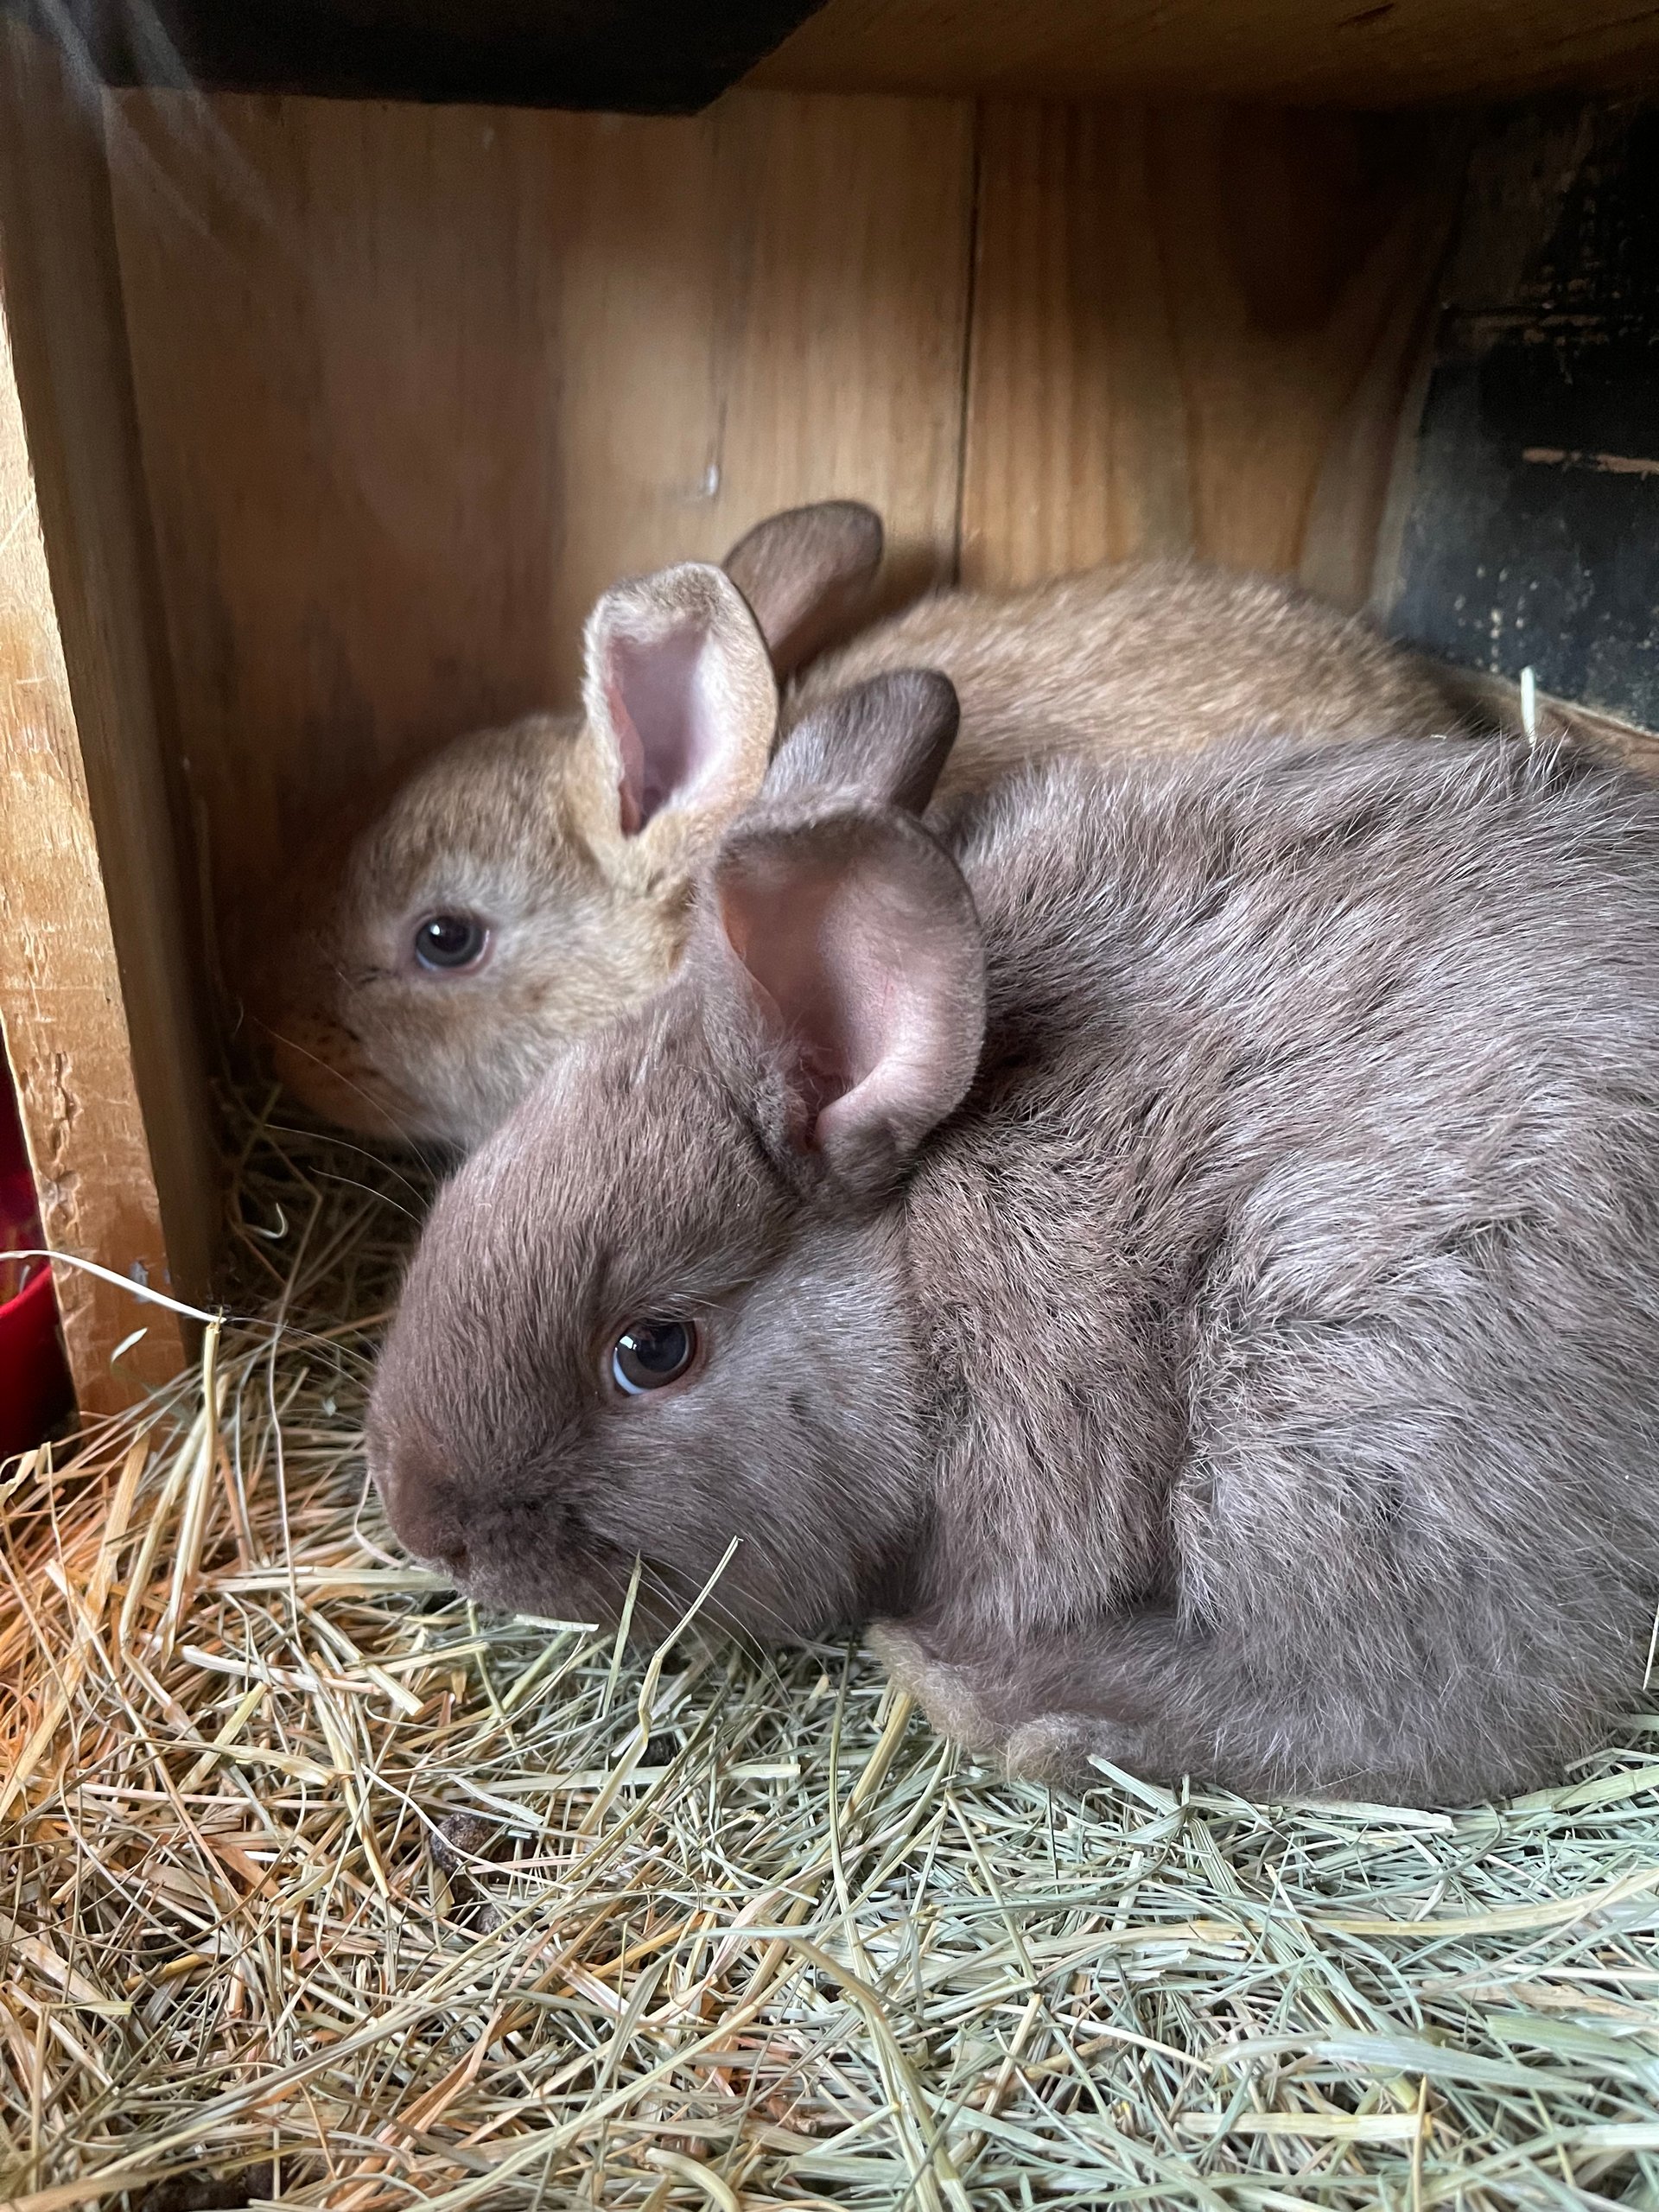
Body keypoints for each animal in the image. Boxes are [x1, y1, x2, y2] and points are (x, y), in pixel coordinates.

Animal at [366, 667, 1659, 1807]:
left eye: (651, 1352)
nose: (428, 1529)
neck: (921, 1277)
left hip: (1333, 1424)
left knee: (1427, 1701)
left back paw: (993, 1696)